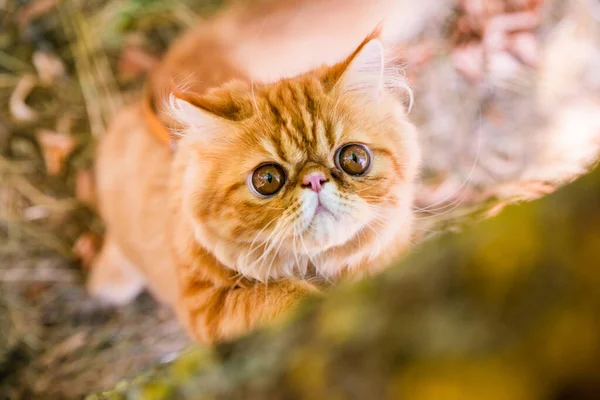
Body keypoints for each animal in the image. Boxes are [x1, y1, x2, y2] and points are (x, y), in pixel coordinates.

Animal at [90, 0, 422, 344]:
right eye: (267, 180)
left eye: (354, 159)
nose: (315, 179)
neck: (312, 268)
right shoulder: (206, 306)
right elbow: (279, 299)